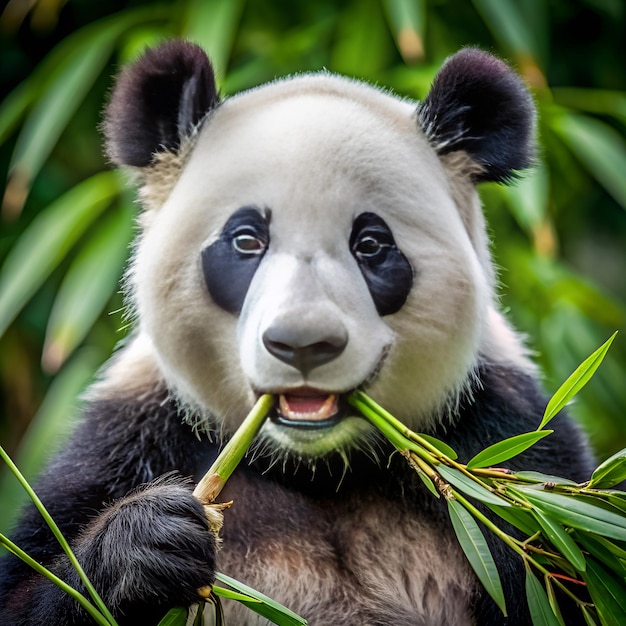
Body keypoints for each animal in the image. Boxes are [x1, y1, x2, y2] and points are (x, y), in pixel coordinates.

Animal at [0, 41, 592, 620]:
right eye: (247, 240)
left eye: (370, 244)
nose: (303, 344)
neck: (317, 465)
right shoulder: (129, 438)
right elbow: (32, 587)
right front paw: (151, 544)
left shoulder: (507, 439)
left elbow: (557, 566)